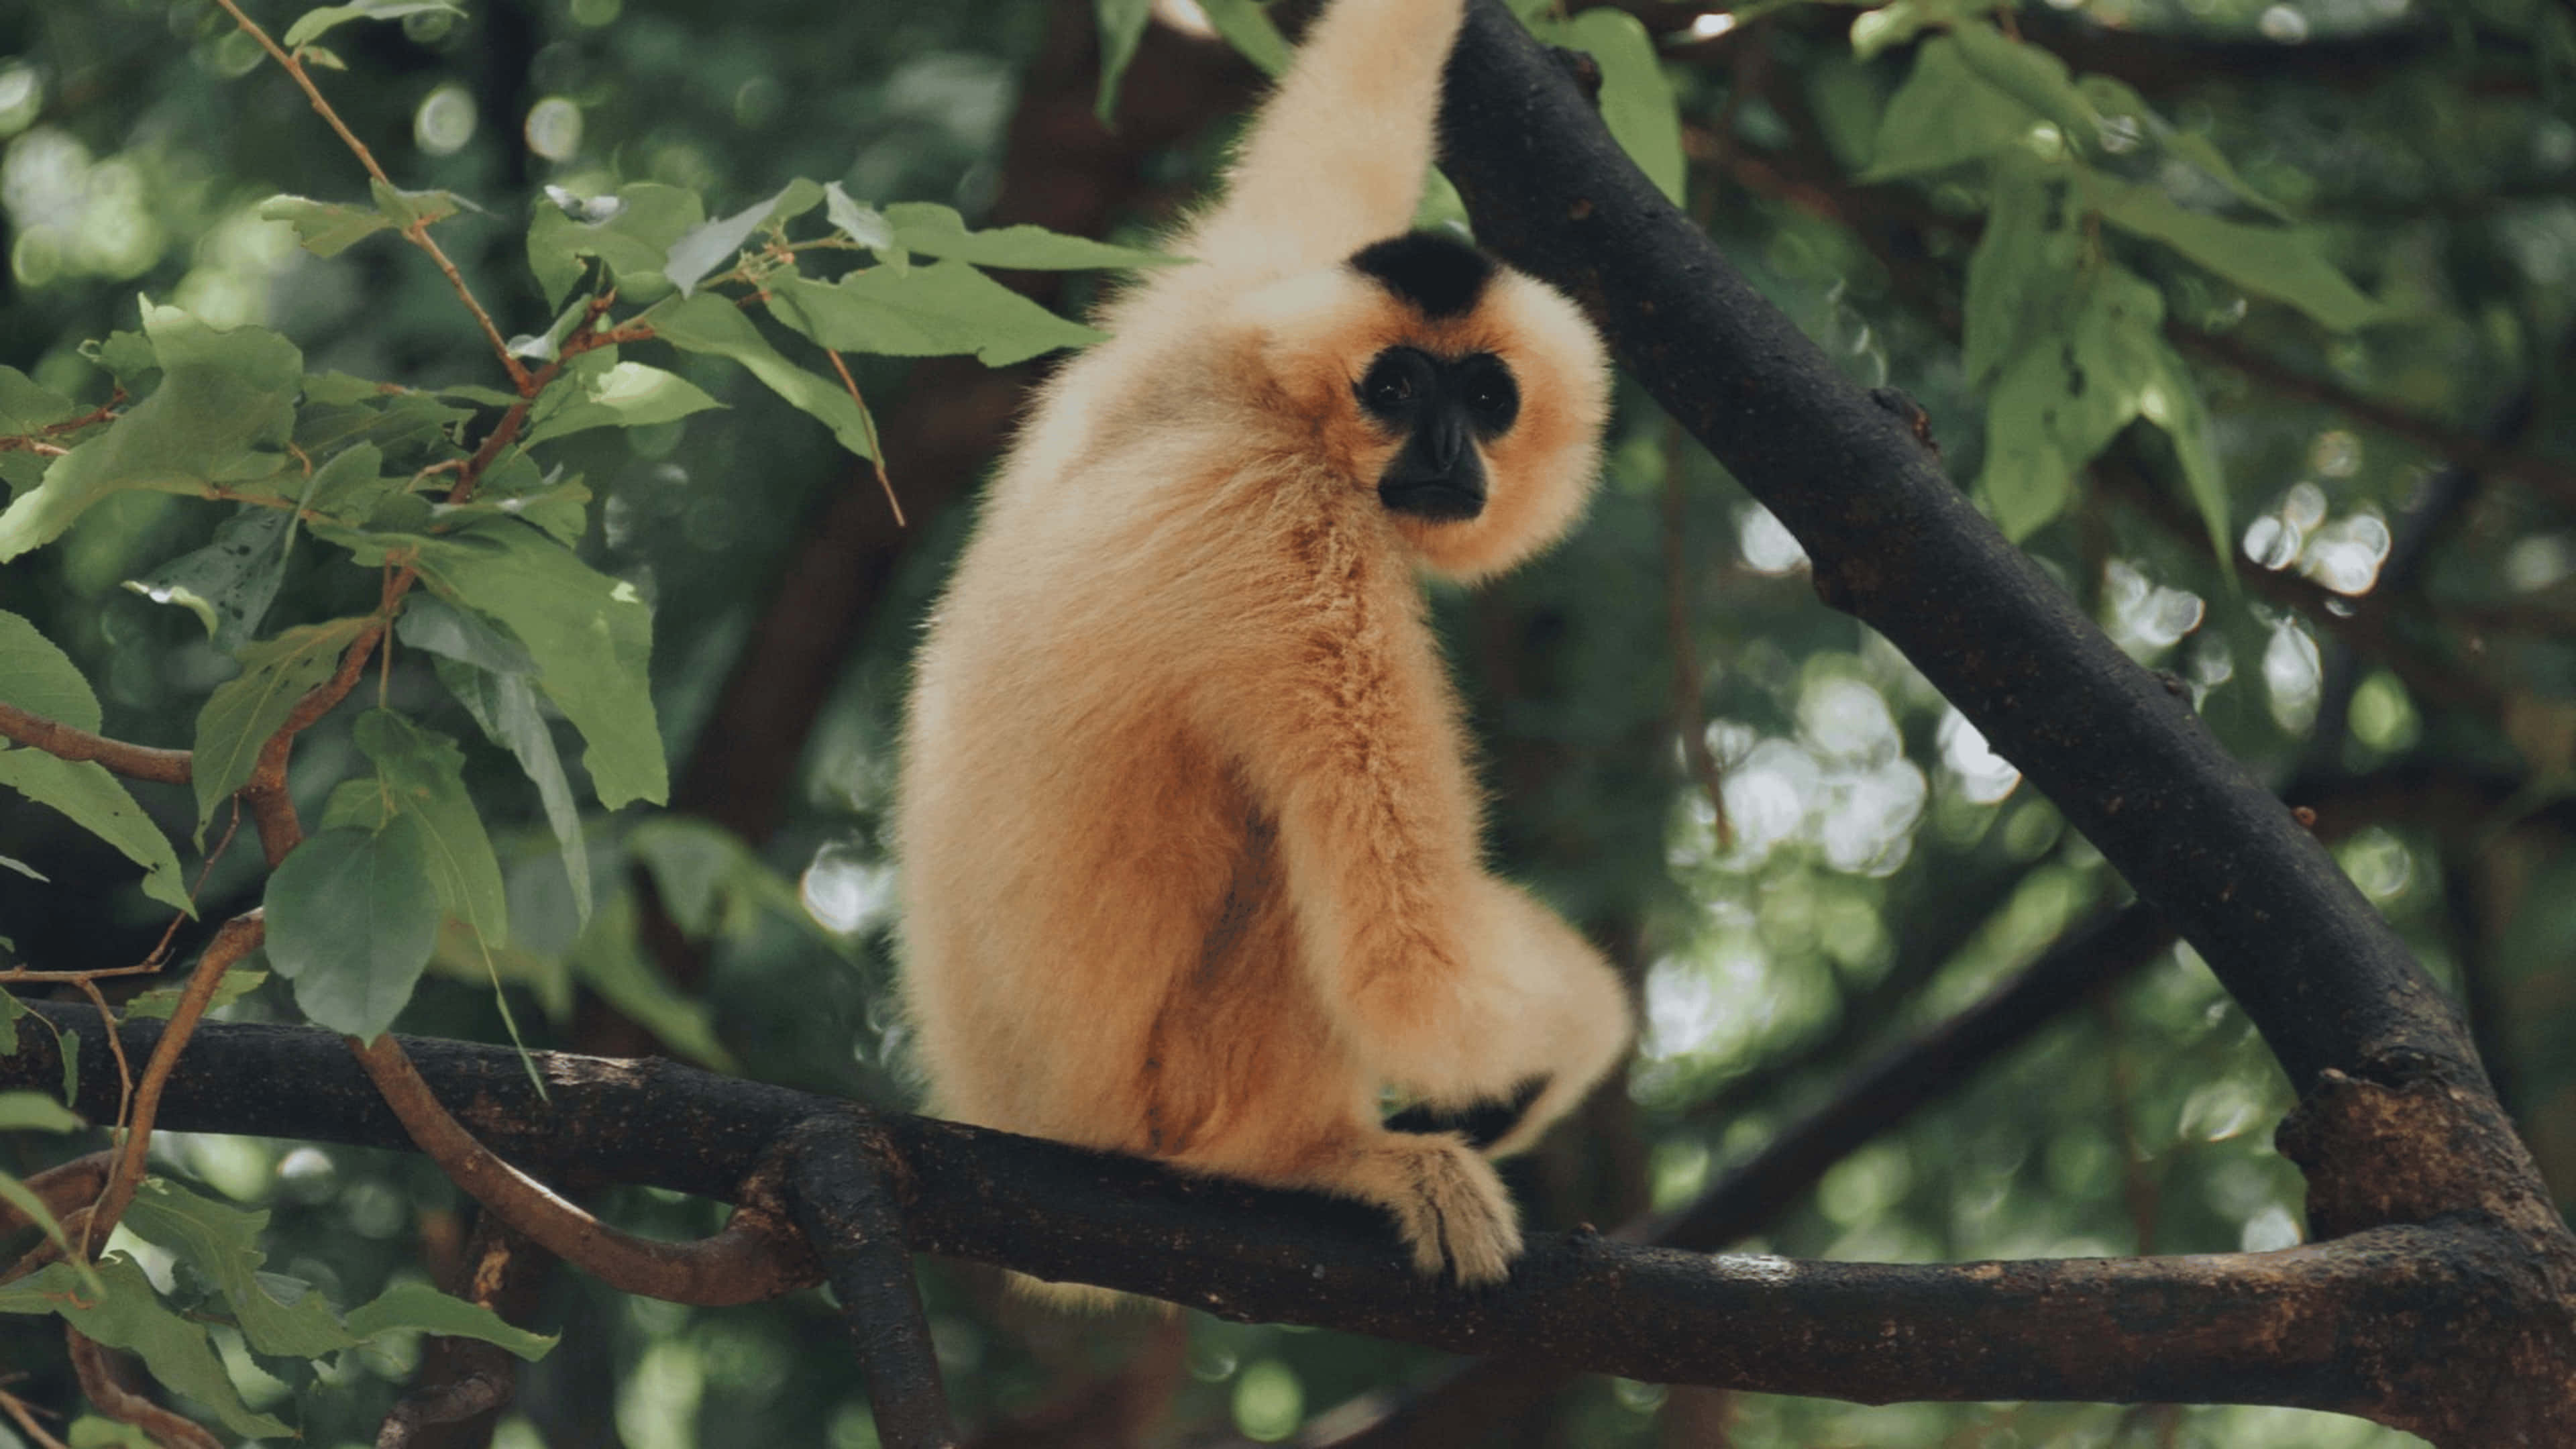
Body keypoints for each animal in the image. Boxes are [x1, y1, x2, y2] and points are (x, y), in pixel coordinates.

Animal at [895, 0, 1633, 1289]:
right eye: (1397, 389)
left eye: (1487, 399)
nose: (1449, 448)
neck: (1262, 403)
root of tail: (1017, 1119)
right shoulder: (1306, 548)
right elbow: (1411, 970)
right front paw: (1580, 1032)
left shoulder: (1230, 294)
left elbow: (1339, 130)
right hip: (1172, 1099)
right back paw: (1323, 1158)